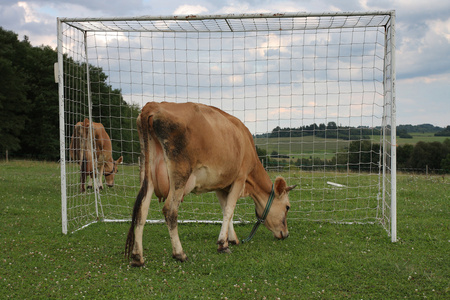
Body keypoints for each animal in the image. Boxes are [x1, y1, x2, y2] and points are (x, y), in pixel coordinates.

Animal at [125, 102, 298, 266]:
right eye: (287, 207)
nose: (286, 234)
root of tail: (154, 105)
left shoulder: (221, 185)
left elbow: (226, 210)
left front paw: (231, 239)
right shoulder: (239, 178)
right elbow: (229, 210)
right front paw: (222, 244)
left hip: (147, 172)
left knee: (141, 209)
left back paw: (137, 257)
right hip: (180, 174)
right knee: (170, 210)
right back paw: (179, 254)